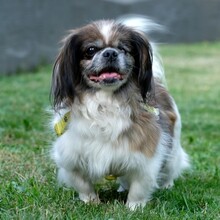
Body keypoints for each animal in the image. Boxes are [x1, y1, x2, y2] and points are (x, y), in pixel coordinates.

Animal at [49, 16, 189, 210]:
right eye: (91, 50)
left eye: (123, 49)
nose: (110, 53)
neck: (105, 104)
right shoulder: (72, 157)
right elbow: (83, 184)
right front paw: (91, 202)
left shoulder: (145, 156)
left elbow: (139, 187)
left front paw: (133, 208)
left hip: (172, 148)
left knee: (170, 168)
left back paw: (167, 185)